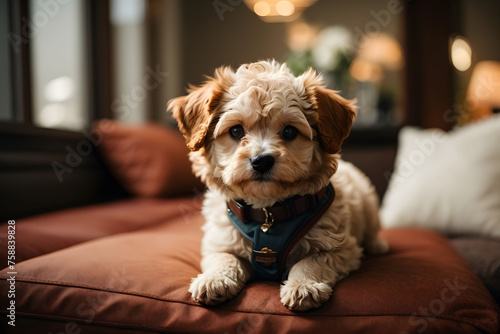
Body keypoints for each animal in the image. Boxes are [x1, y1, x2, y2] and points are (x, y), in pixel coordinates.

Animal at [170, 59, 388, 310]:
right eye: (235, 130)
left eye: (289, 131)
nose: (262, 160)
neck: (268, 214)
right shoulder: (219, 241)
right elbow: (224, 257)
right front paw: (214, 279)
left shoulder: (341, 248)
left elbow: (311, 262)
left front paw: (303, 285)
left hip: (368, 203)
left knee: (372, 230)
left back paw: (378, 245)